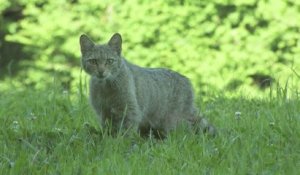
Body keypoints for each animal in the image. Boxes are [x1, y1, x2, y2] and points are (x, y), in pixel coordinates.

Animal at [79, 33, 216, 139]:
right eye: (93, 61)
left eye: (109, 61)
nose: (101, 71)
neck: (105, 87)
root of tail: (187, 81)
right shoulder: (104, 113)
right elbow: (109, 131)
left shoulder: (130, 111)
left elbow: (126, 133)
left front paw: (120, 144)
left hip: (174, 121)